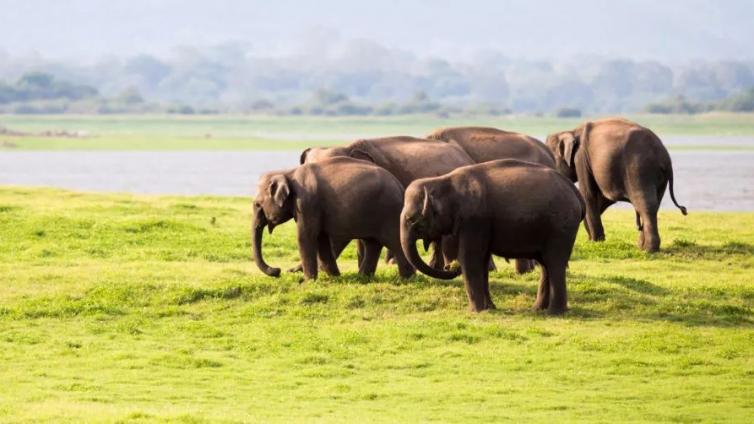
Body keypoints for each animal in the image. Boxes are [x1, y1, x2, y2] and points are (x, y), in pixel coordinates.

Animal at [251, 157, 412, 280]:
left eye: (258, 205)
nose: (278, 271)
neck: (288, 172)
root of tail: (400, 186)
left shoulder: (307, 204)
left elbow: (305, 236)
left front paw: (308, 282)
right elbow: (321, 239)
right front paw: (335, 277)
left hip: (389, 213)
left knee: (394, 242)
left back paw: (407, 278)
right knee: (373, 243)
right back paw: (363, 278)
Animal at [400, 160, 580, 314]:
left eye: (410, 219)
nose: (449, 266)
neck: (442, 180)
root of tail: (576, 193)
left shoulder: (474, 220)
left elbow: (469, 258)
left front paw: (477, 311)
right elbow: (482, 260)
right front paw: (489, 308)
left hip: (561, 228)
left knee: (555, 262)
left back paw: (554, 312)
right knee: (546, 265)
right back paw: (537, 309)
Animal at [544, 117, 684, 252]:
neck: (572, 131)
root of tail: (665, 157)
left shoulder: (581, 157)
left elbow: (588, 194)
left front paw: (595, 242)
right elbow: (603, 199)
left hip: (639, 169)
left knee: (645, 203)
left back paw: (649, 249)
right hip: (659, 178)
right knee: (654, 203)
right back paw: (642, 246)